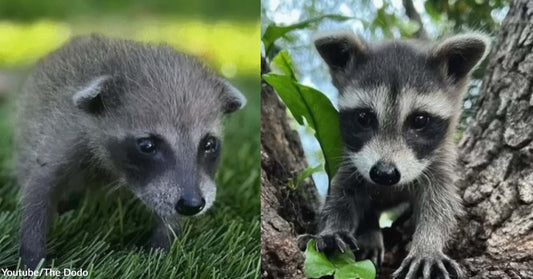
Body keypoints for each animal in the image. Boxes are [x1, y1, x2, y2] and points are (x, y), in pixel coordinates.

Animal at [15, 34, 245, 270]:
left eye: (209, 144)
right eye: (147, 146)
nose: (192, 204)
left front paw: (162, 245)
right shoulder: (64, 130)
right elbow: (40, 185)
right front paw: (32, 254)